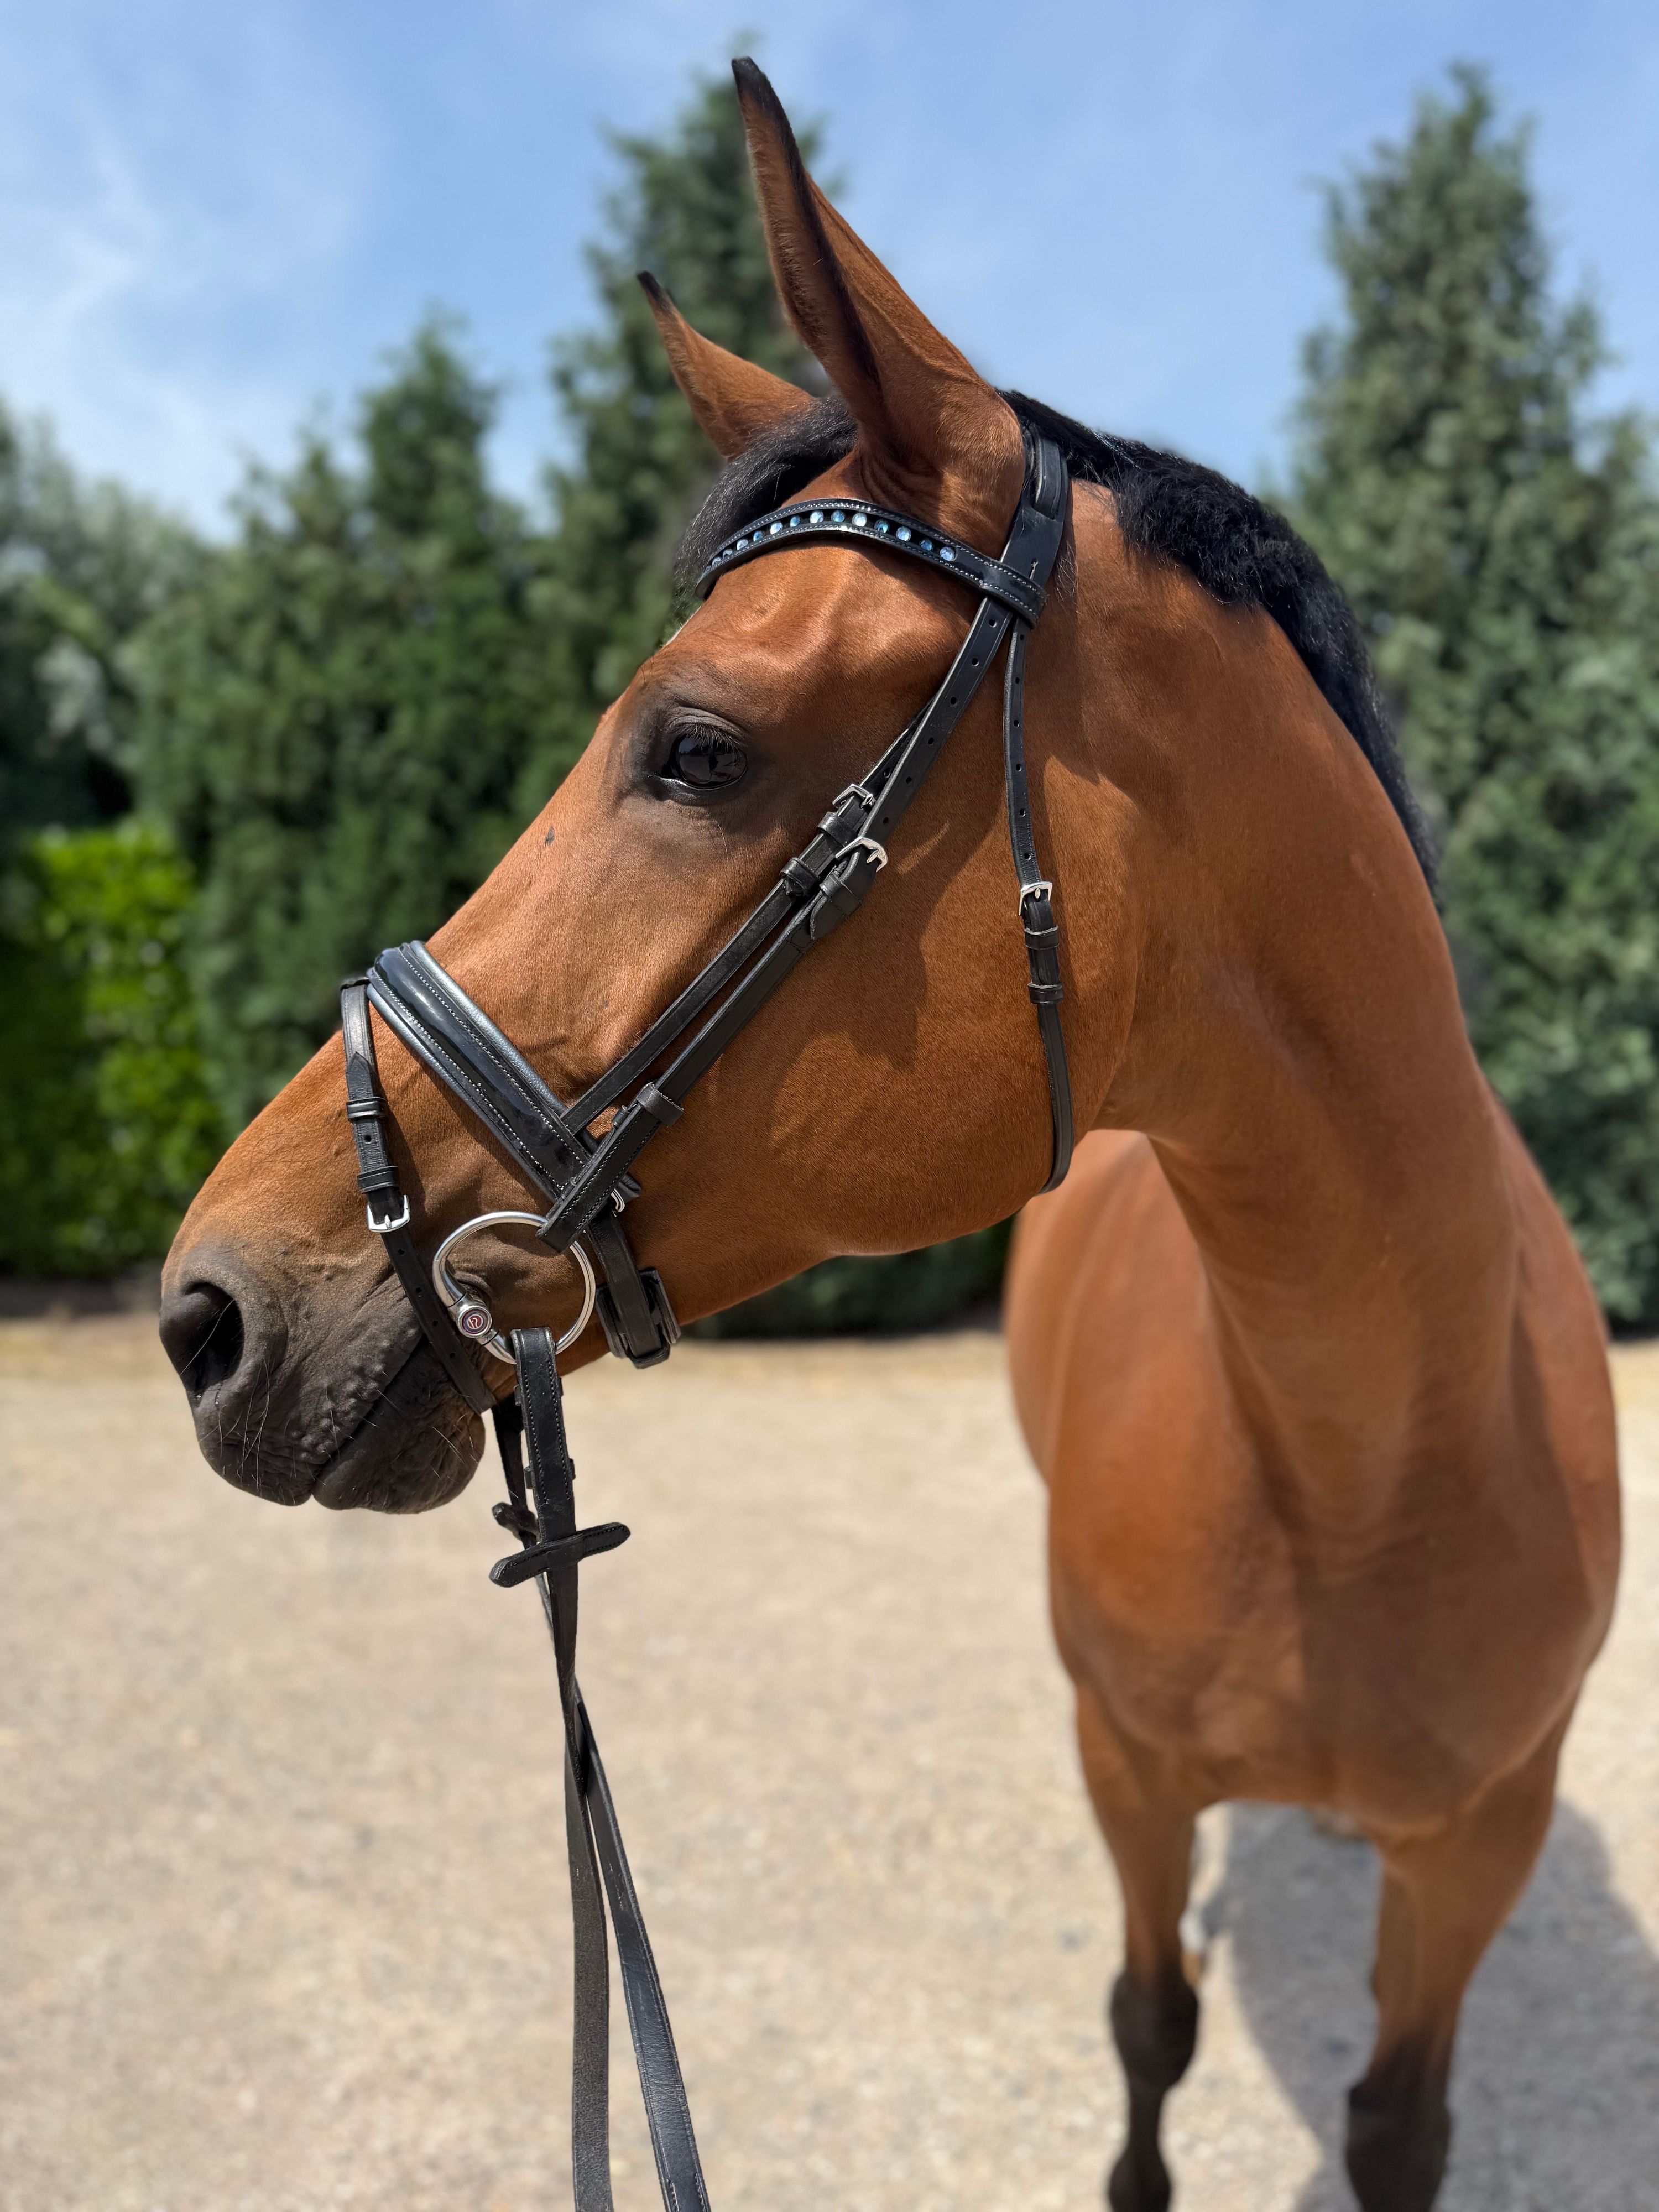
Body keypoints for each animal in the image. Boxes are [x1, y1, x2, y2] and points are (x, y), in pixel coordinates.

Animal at [159, 58, 1620, 2212]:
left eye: (696, 748)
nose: (209, 1310)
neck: (1377, 1454)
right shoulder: (1127, 1772)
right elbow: (1149, 2029)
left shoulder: (1481, 1842)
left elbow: (1397, 2122)